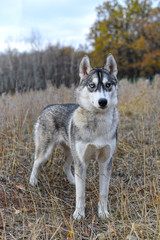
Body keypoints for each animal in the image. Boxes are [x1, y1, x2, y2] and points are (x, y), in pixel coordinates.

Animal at [29, 53, 119, 220]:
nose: (103, 102)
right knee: (36, 162)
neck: (98, 123)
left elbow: (103, 192)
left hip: (71, 153)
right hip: (47, 152)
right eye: (92, 85)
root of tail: (46, 107)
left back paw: (73, 181)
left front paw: (103, 212)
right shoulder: (82, 161)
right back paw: (33, 181)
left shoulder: (105, 162)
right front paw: (79, 214)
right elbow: (80, 194)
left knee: (65, 166)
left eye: (108, 84)